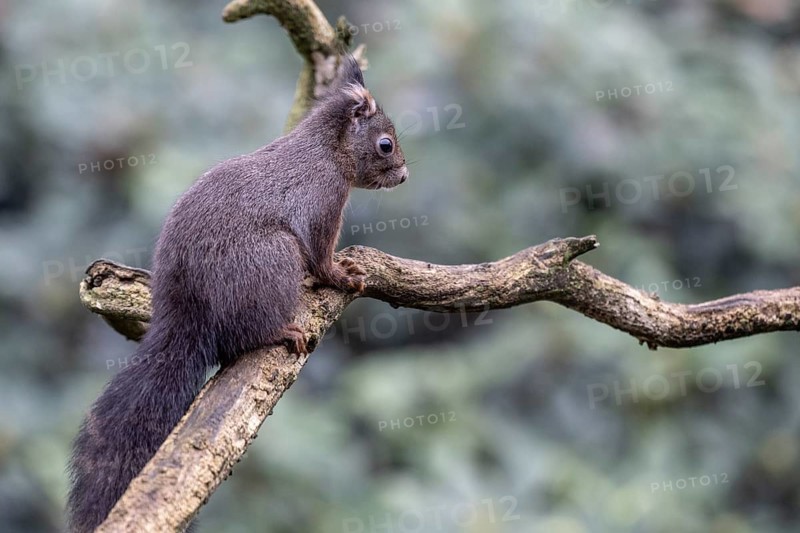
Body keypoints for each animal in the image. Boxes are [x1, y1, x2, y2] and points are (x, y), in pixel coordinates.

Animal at [67, 55, 408, 533]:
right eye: (385, 145)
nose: (405, 174)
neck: (327, 151)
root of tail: (186, 309)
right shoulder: (323, 202)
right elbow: (320, 256)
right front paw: (342, 275)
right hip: (272, 258)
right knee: (243, 334)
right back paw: (279, 333)